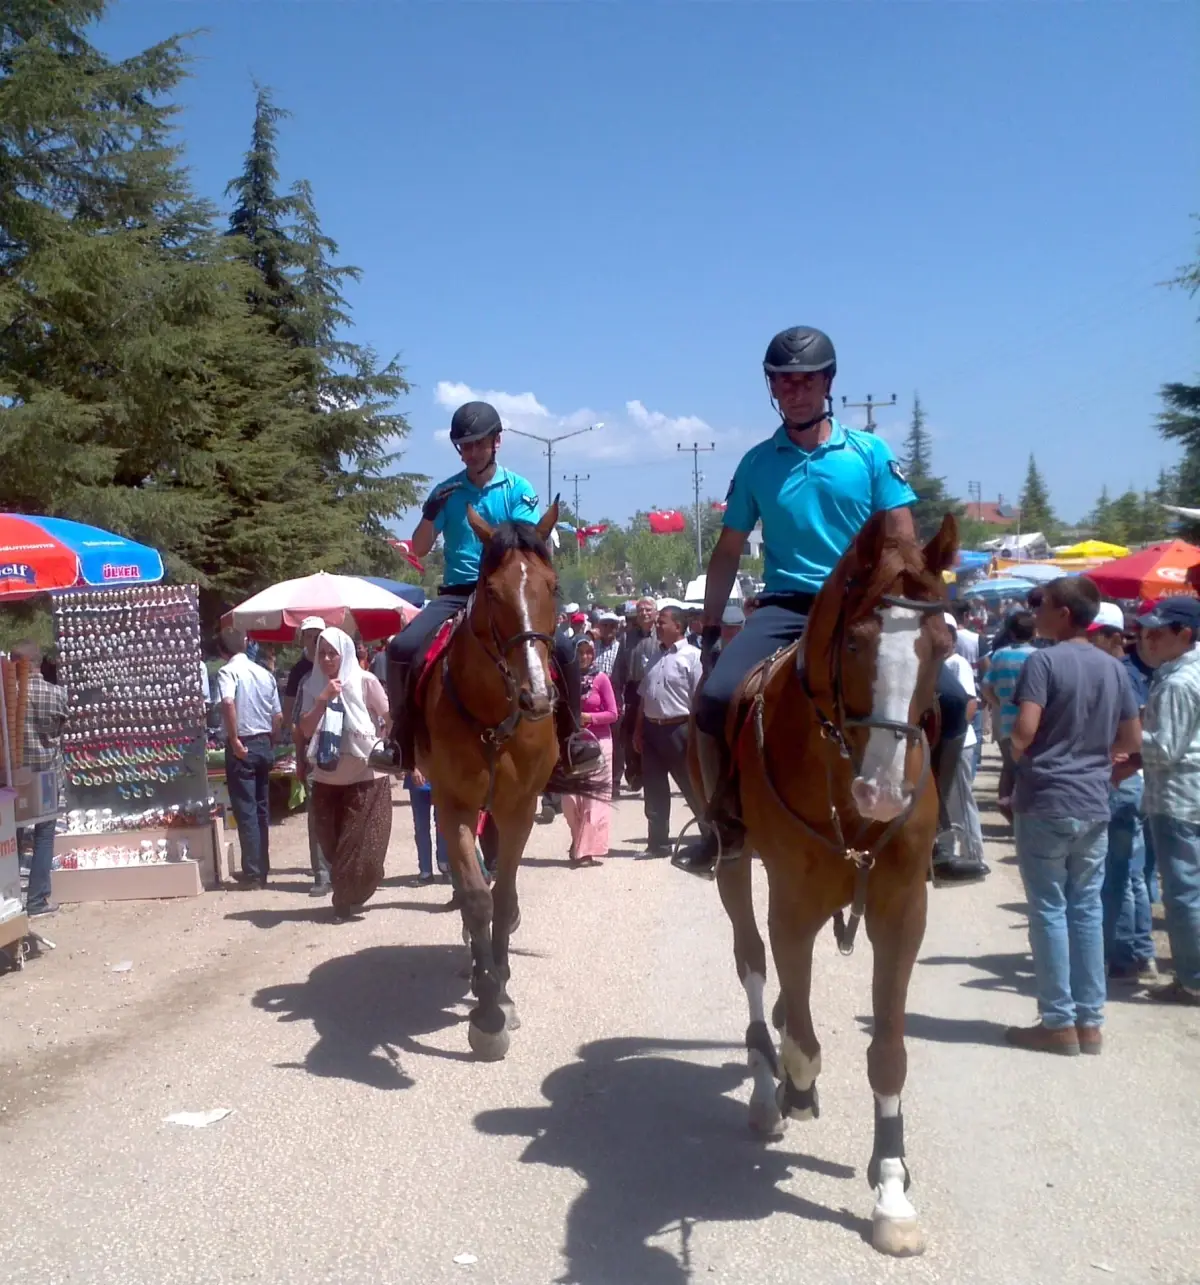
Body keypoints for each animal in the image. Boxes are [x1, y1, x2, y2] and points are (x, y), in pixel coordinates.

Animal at [423, 503, 567, 1063]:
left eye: (553, 585)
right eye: (490, 589)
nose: (536, 697)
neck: (490, 717)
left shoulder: (519, 808)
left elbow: (503, 898)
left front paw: (501, 992)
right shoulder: (453, 805)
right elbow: (478, 896)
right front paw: (486, 1013)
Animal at [704, 508, 955, 1254]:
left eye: (943, 644)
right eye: (855, 642)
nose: (884, 791)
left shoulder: (902, 912)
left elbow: (889, 1053)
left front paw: (892, 1192)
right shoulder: (790, 905)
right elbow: (805, 1044)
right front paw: (794, 1085)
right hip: (734, 869)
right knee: (755, 967)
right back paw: (769, 1090)